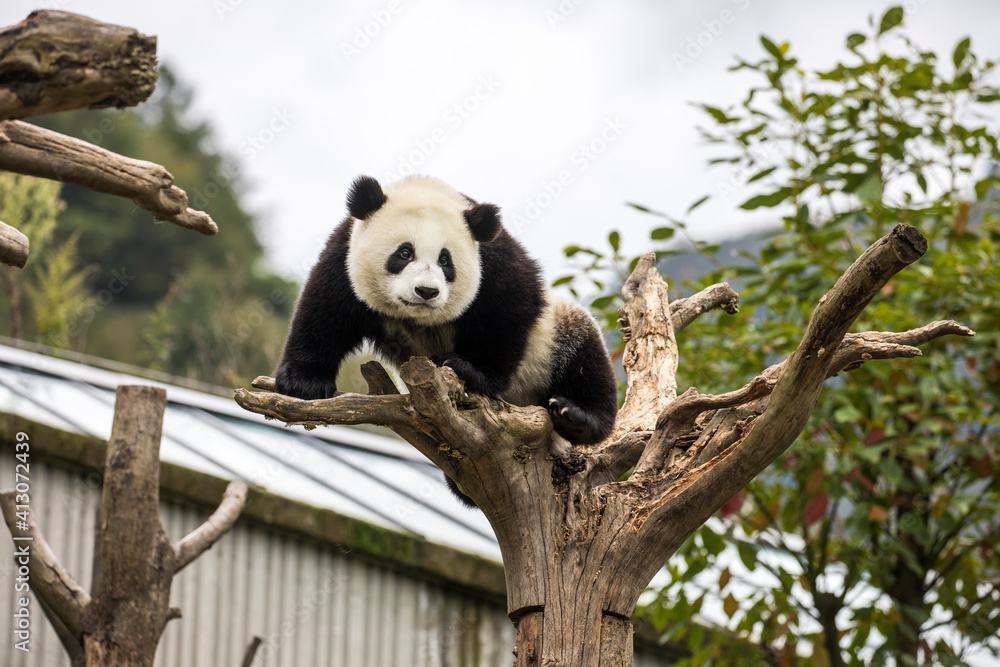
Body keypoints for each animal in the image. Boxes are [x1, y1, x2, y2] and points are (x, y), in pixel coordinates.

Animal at [275, 174, 618, 504]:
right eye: (404, 253)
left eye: (445, 260)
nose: (426, 291)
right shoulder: (344, 253)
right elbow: (324, 311)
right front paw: (304, 384)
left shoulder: (494, 261)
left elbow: (509, 311)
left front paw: (467, 368)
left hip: (552, 340)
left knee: (583, 355)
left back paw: (575, 415)